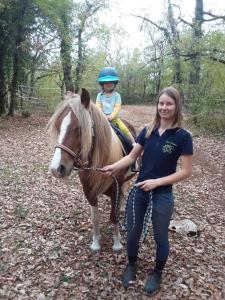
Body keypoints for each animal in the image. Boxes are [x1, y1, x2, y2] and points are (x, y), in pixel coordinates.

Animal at [47, 88, 135, 251]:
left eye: (80, 129)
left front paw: (117, 243)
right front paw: (96, 242)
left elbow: (113, 216)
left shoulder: (115, 188)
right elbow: (95, 218)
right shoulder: (89, 191)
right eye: (58, 126)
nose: (57, 169)